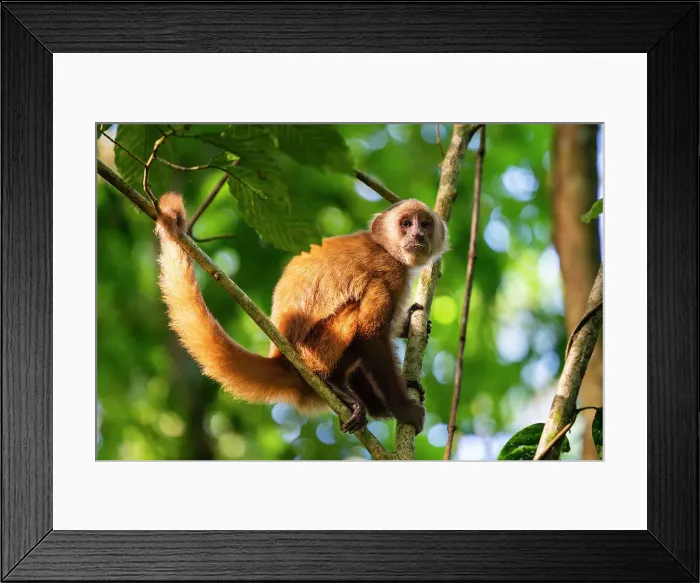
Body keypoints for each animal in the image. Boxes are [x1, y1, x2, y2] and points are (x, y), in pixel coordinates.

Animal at [154, 192, 448, 435]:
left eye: (425, 224)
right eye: (406, 224)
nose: (417, 235)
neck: (384, 247)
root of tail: (282, 358)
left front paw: (409, 326)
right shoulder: (389, 269)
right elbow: (371, 336)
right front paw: (403, 410)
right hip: (314, 351)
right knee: (361, 305)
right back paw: (333, 383)